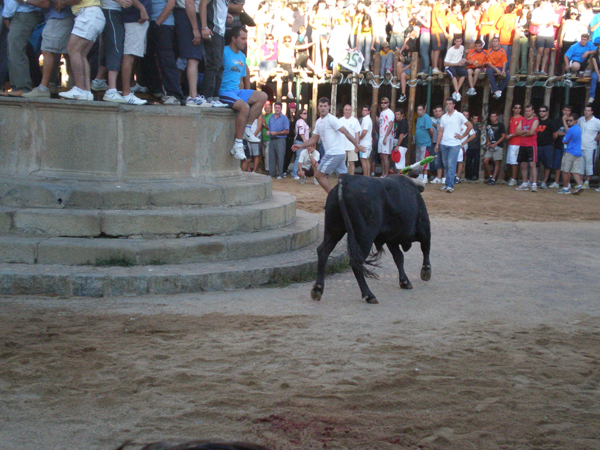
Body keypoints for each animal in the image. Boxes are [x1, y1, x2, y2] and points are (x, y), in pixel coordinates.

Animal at [310, 174, 432, 304]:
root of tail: (347, 179)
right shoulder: (424, 228)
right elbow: (425, 248)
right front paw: (426, 271)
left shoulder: (391, 239)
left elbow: (399, 257)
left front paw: (404, 281)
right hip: (365, 237)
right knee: (355, 263)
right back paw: (369, 295)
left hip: (334, 230)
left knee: (323, 252)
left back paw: (317, 289)